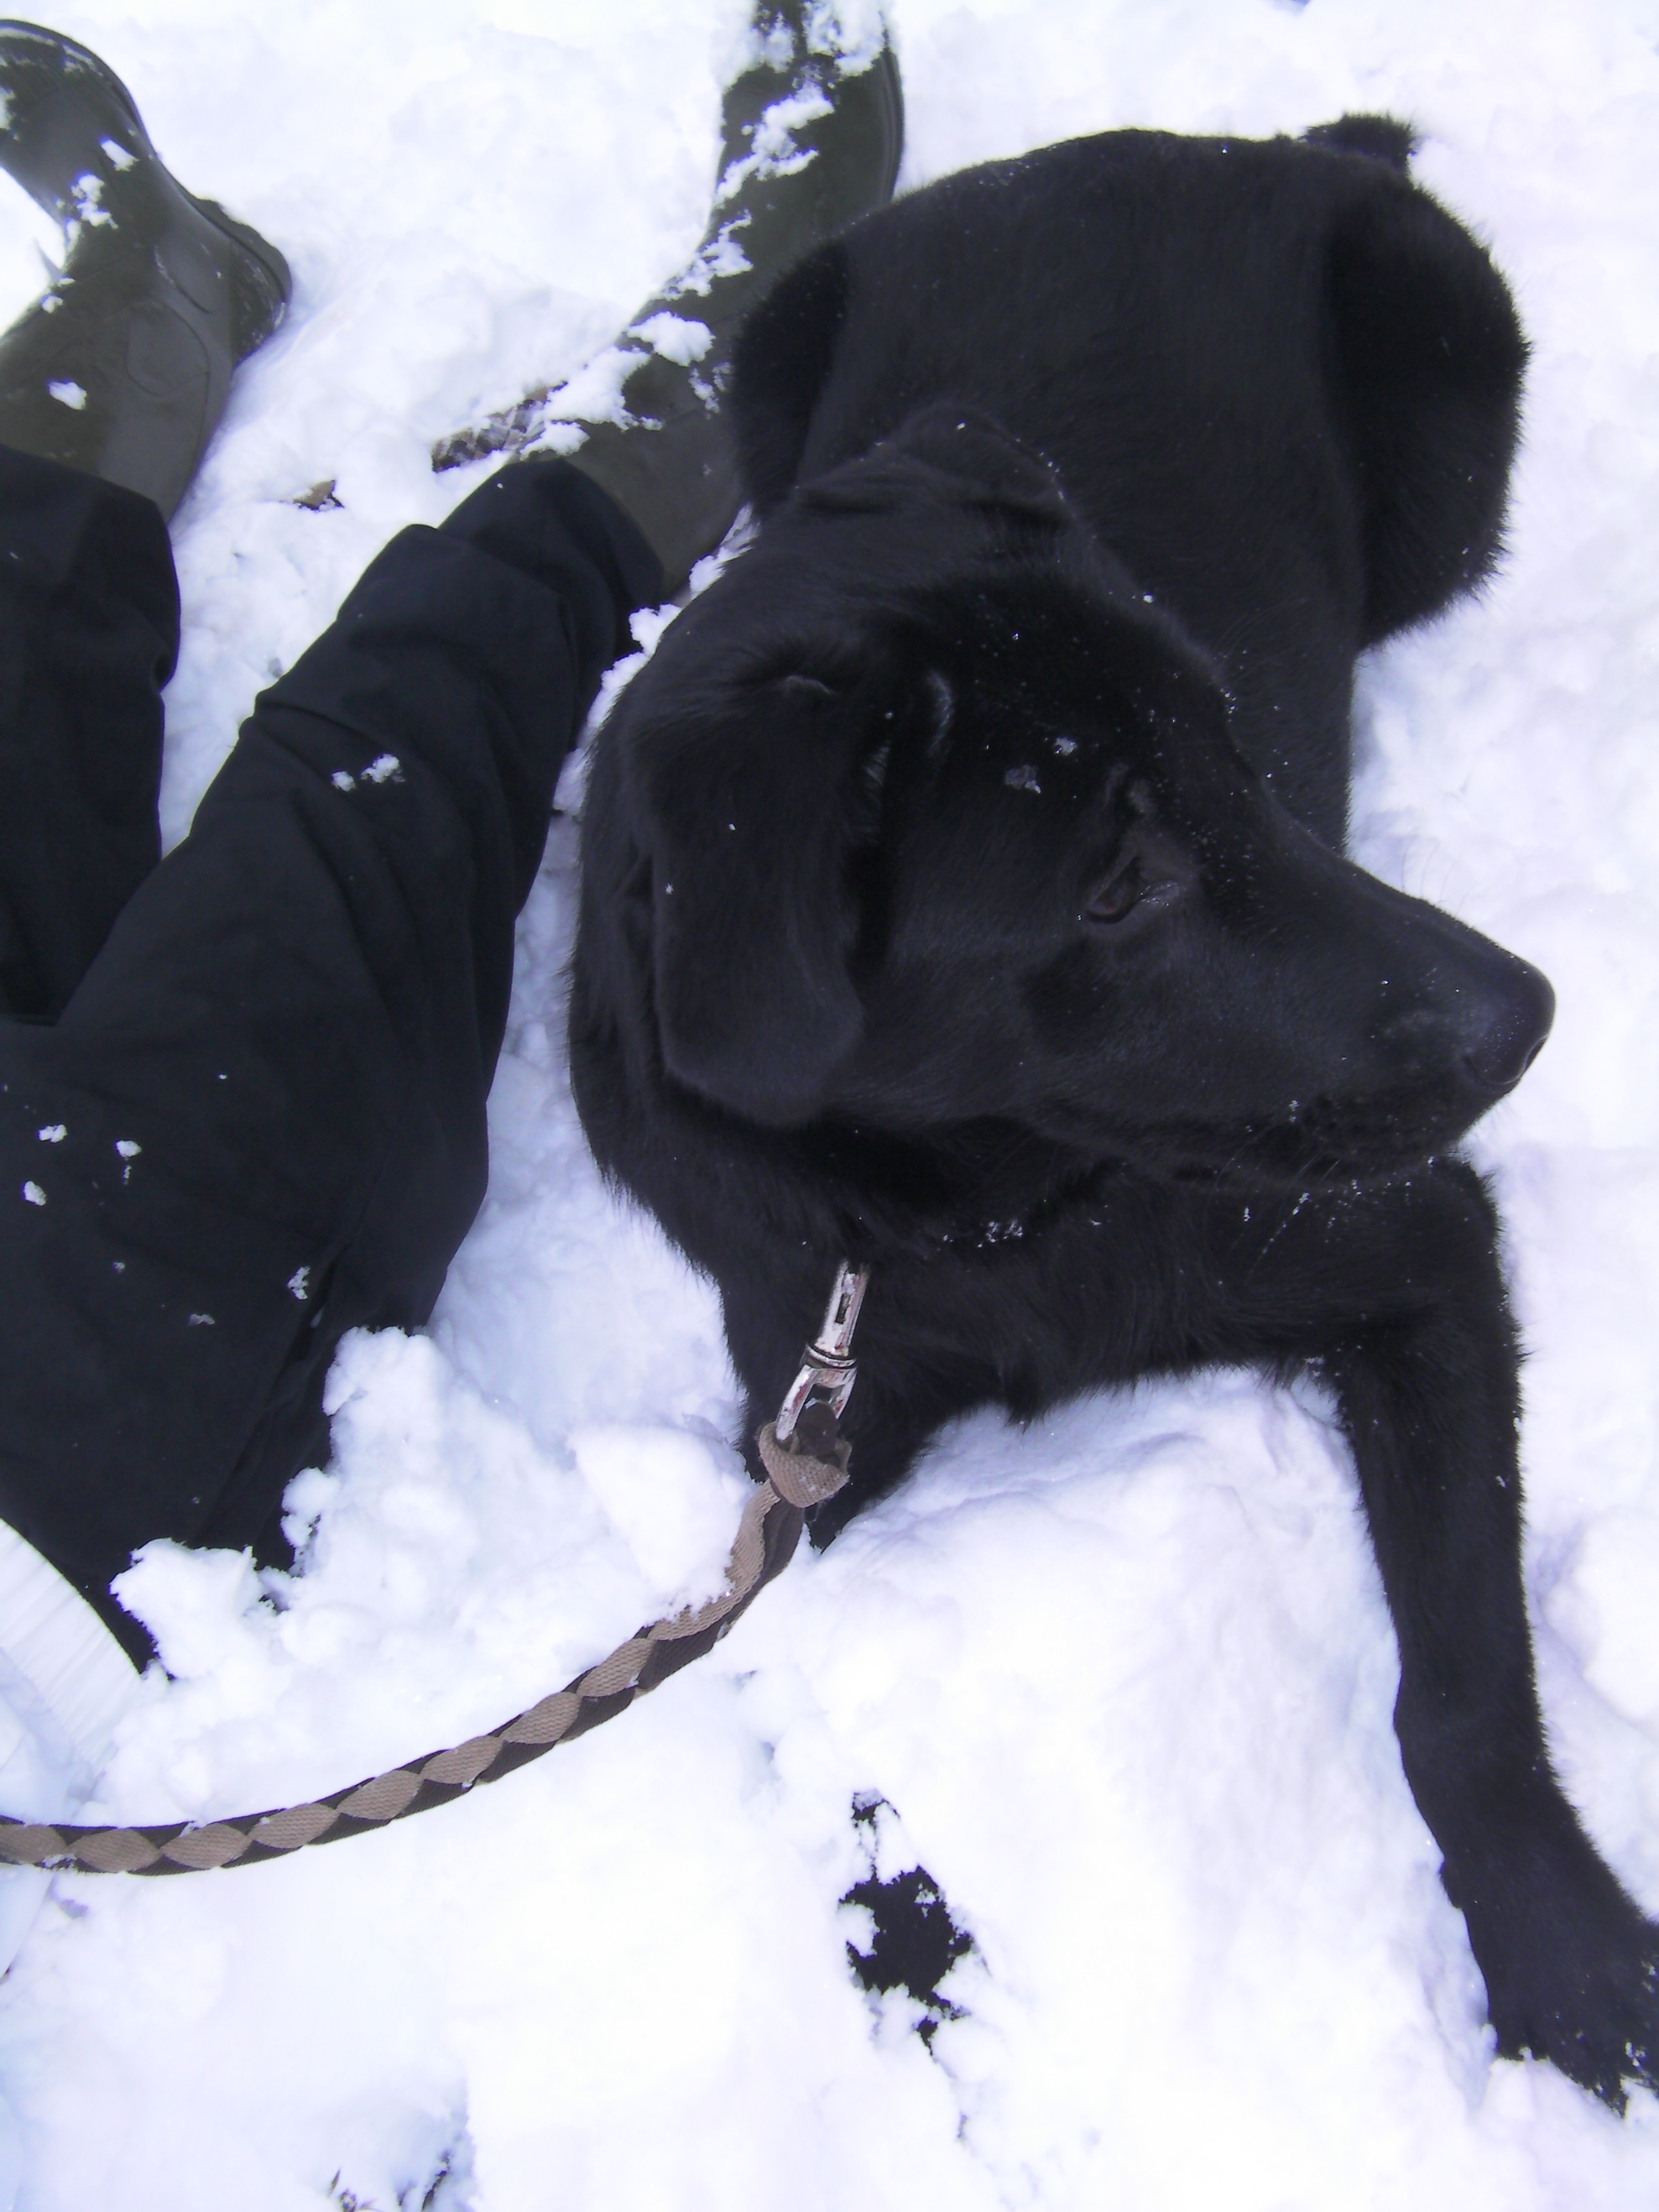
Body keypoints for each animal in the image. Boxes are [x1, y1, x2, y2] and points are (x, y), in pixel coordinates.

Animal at [571, 117, 1659, 2106]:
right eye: (1114, 885)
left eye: (1239, 746)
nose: (1530, 1019)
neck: (989, 1218)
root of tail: (1215, 141)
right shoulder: (800, 1454)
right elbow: (825, 1730)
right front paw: (925, 1968)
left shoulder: (1422, 1252)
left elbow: (1461, 1679)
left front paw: (1557, 1943)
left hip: (1445, 408)